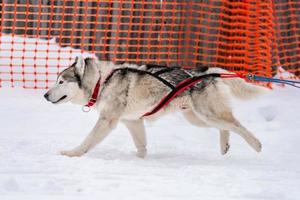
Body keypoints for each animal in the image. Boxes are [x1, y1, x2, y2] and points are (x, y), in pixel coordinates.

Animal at [43, 55, 266, 158]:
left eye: (61, 81)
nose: (45, 95)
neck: (101, 82)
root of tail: (207, 71)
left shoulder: (107, 121)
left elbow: (87, 141)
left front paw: (72, 153)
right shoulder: (133, 122)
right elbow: (141, 145)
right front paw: (140, 159)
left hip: (207, 114)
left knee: (237, 125)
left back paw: (256, 144)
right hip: (197, 118)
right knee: (225, 128)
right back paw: (224, 145)